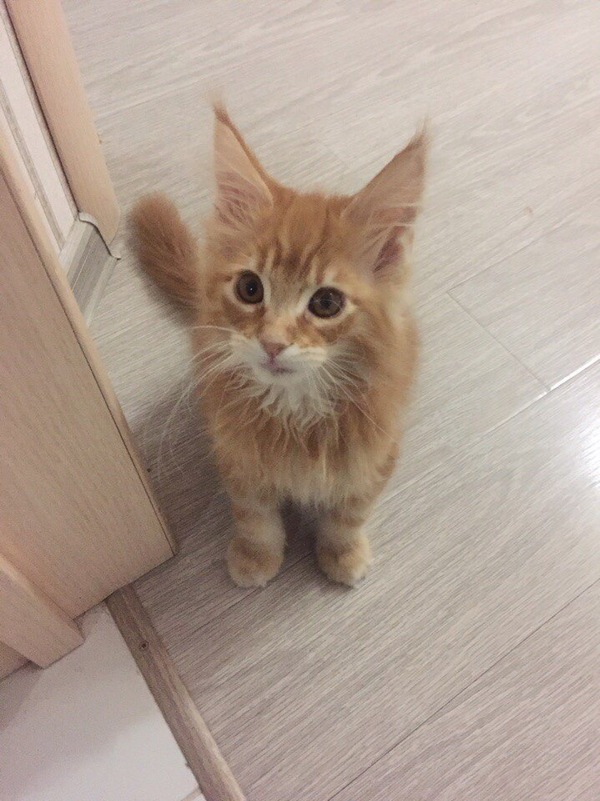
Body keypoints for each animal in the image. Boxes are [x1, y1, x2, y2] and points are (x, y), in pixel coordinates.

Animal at [130, 104, 426, 588]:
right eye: (250, 289)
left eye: (326, 303)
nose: (271, 343)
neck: (297, 411)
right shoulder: (238, 458)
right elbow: (255, 517)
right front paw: (256, 558)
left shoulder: (377, 454)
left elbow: (350, 514)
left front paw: (343, 554)